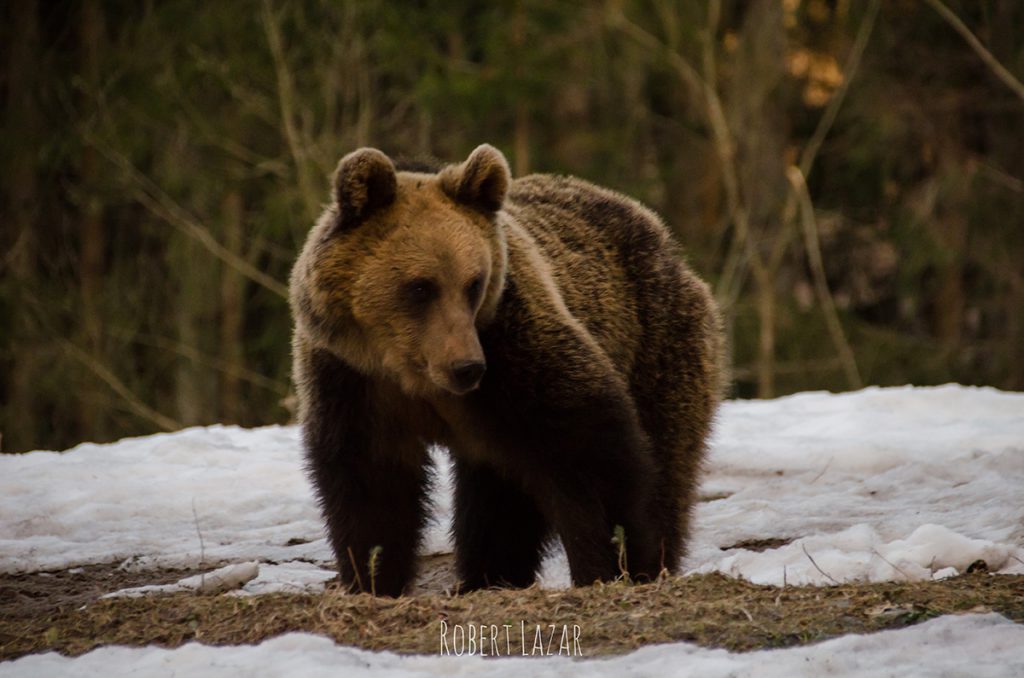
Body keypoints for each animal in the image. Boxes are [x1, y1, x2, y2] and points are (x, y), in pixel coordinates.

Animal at [290, 143, 720, 594]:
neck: (410, 370)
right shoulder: (353, 381)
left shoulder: (515, 355)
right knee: (499, 495)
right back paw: (488, 577)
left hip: (656, 342)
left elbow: (590, 453)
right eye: (421, 286)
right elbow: (371, 485)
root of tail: (658, 231)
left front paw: (617, 564)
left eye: (473, 283)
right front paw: (373, 577)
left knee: (665, 457)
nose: (466, 367)